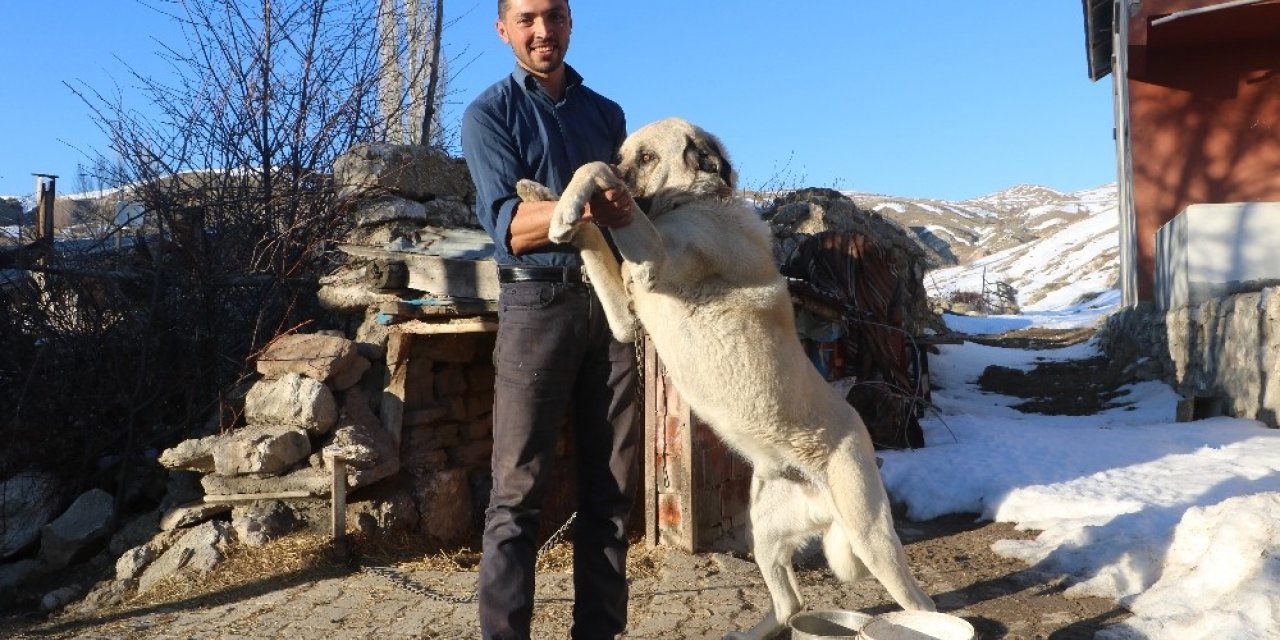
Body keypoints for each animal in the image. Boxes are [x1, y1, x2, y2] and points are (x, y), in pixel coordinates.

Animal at [524, 117, 936, 637]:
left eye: (645, 158)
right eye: (624, 154)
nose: (624, 172)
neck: (693, 202)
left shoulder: (652, 262)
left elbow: (594, 173)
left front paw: (567, 202)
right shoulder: (624, 316)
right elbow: (593, 240)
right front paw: (547, 200)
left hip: (870, 538)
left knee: (919, 602)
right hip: (765, 532)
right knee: (791, 602)